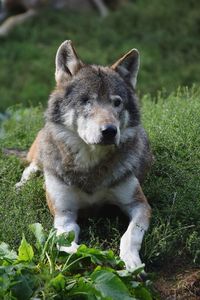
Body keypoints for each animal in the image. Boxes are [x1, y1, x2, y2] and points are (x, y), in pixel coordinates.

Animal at [16, 39, 152, 270]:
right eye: (87, 101)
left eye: (117, 103)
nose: (109, 131)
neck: (90, 167)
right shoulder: (64, 214)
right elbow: (66, 243)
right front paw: (85, 255)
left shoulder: (140, 205)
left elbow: (130, 235)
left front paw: (132, 262)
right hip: (42, 153)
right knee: (31, 168)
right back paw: (20, 186)